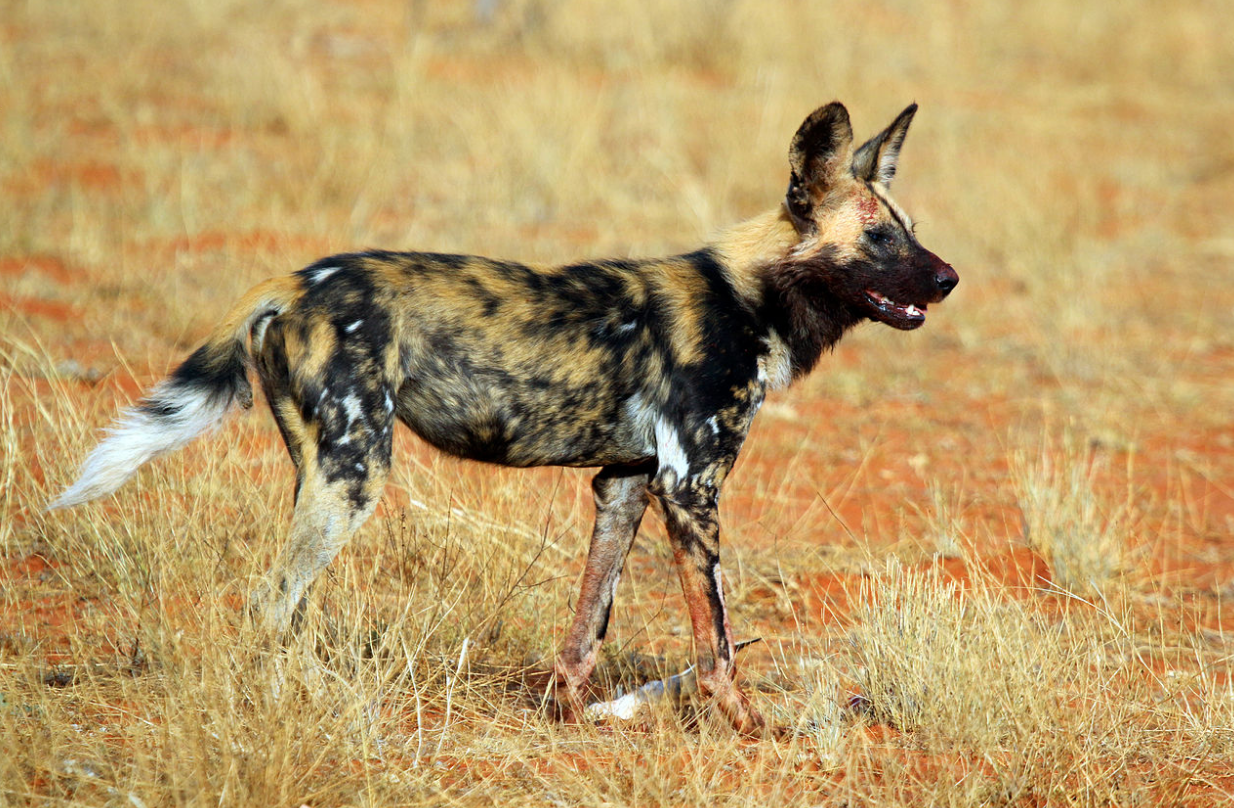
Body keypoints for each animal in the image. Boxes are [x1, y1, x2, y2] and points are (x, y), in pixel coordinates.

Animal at [50, 101, 952, 735]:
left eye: (911, 230)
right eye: (878, 238)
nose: (948, 279)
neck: (751, 297)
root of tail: (295, 280)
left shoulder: (627, 485)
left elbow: (586, 629)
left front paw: (566, 718)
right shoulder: (690, 487)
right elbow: (719, 644)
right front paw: (752, 727)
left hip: (323, 472)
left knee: (286, 605)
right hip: (356, 474)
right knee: (270, 603)